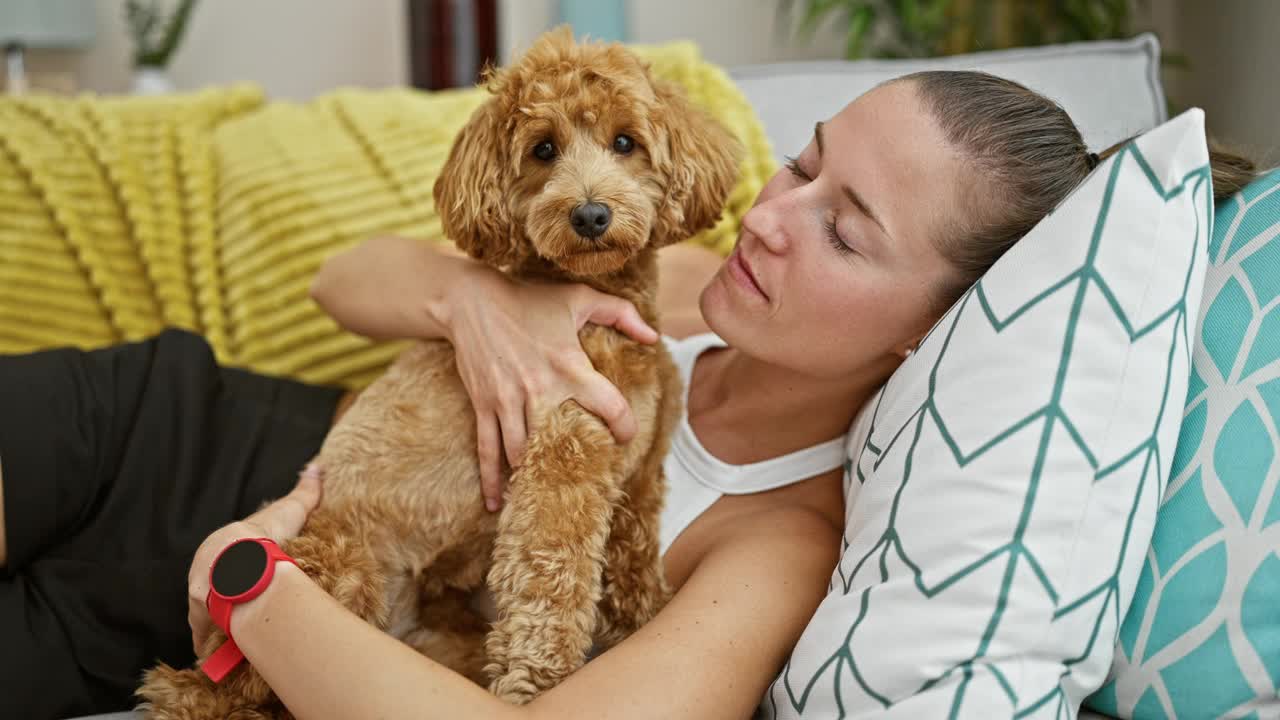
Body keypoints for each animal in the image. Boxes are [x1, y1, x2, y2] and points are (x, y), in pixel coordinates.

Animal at [137, 25, 742, 712]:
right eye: (543, 149)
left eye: (625, 142)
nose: (590, 215)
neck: (599, 301)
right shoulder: (564, 458)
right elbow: (550, 577)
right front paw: (538, 681)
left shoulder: (636, 478)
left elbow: (632, 566)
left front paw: (639, 623)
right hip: (339, 568)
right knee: (227, 692)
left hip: (442, 633)